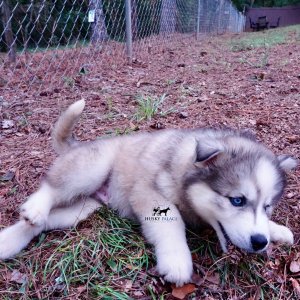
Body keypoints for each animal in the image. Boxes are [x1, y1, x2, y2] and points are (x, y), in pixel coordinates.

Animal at [0, 99, 296, 284]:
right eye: (237, 200)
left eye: (267, 206)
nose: (259, 242)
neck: (180, 163)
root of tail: (78, 145)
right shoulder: (147, 193)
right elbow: (171, 220)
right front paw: (177, 259)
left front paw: (278, 230)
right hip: (91, 168)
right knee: (51, 189)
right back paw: (35, 208)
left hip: (82, 208)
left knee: (45, 222)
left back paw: (9, 241)